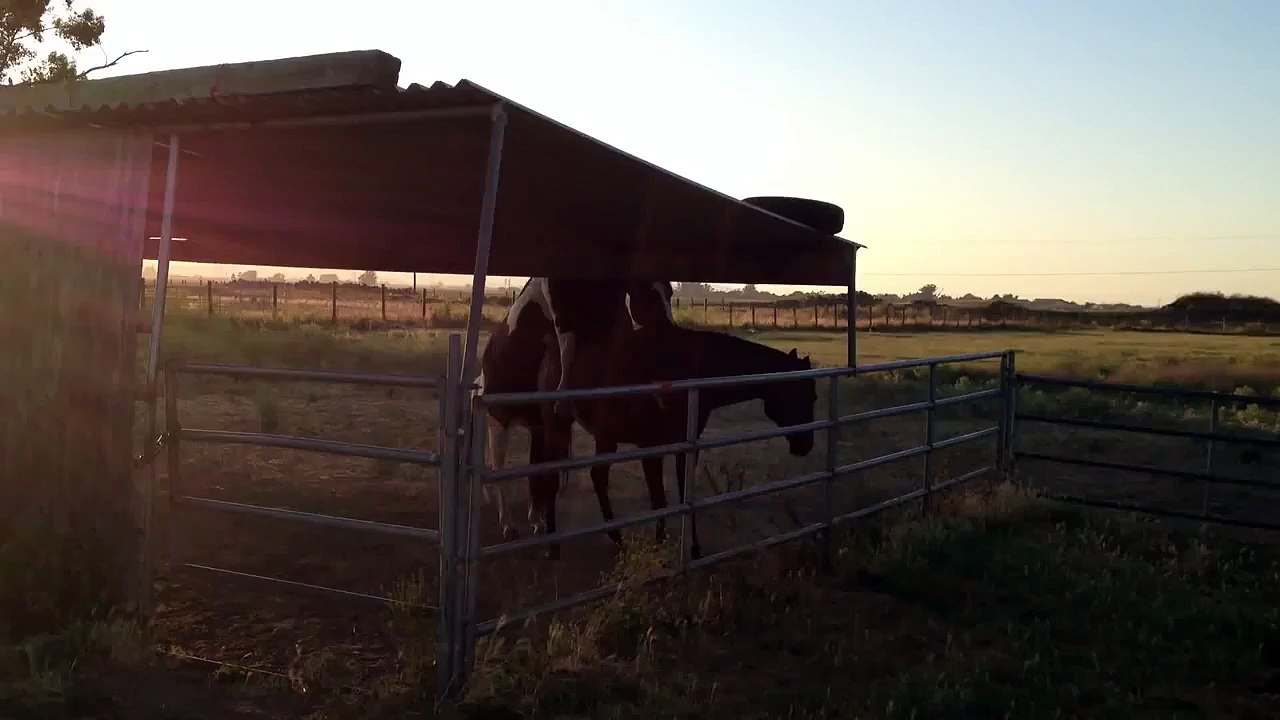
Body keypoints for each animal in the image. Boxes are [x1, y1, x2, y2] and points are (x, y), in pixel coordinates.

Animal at [477, 277, 675, 541]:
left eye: (669, 293)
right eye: (648, 293)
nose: (670, 330)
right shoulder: (558, 306)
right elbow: (567, 344)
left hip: (537, 426)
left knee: (536, 467)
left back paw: (537, 520)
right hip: (498, 423)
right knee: (498, 471)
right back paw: (508, 525)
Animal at [527, 323, 817, 560]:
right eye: (804, 394)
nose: (806, 446)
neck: (694, 370)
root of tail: (550, 349)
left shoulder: (685, 446)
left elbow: (683, 494)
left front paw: (692, 547)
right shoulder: (650, 447)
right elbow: (660, 501)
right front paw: (659, 547)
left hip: (596, 435)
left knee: (589, 476)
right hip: (563, 428)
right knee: (559, 477)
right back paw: (560, 544)